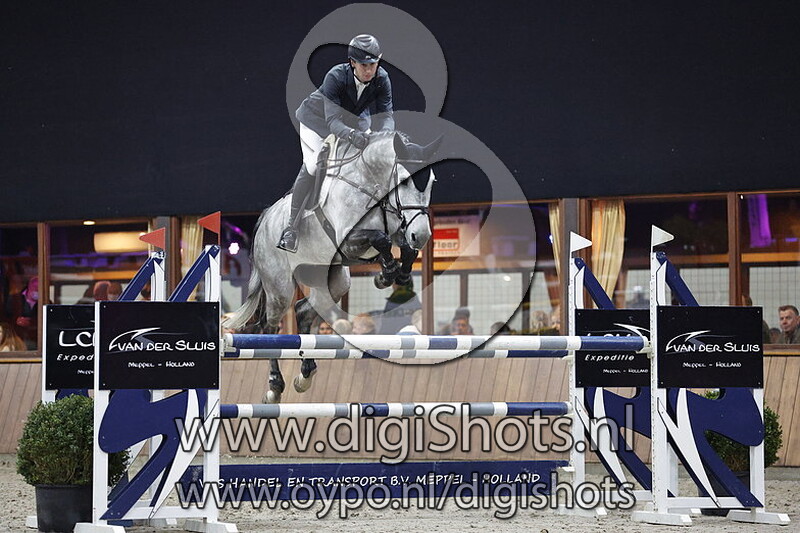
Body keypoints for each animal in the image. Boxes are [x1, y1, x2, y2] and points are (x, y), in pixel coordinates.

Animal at [227, 131, 441, 402]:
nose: (422, 235)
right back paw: (275, 386)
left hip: (334, 282)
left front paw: (393, 274)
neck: (372, 187)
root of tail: (265, 217)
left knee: (302, 311)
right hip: (280, 287)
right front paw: (388, 272)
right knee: (269, 325)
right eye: (403, 182)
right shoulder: (348, 241)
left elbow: (405, 247)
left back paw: (305, 374)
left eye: (431, 182)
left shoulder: (400, 229)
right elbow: (381, 239)